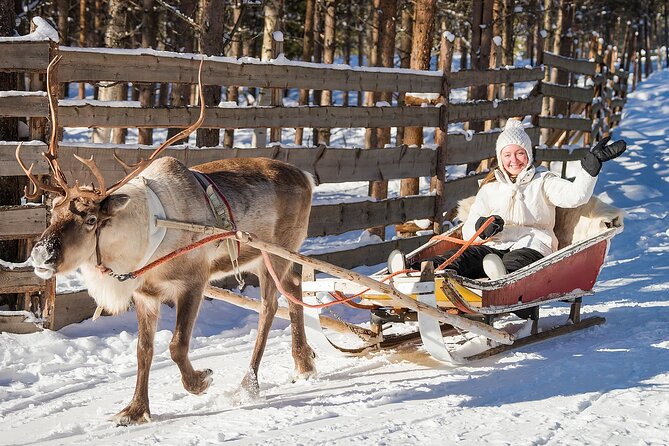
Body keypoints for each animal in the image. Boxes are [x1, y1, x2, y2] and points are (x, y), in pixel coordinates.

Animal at [18, 56, 316, 425]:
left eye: (90, 220)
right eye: (53, 212)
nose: (41, 255)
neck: (143, 239)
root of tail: (306, 178)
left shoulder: (193, 282)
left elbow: (176, 345)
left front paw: (200, 381)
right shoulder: (146, 295)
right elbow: (143, 350)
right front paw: (135, 409)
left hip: (274, 255)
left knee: (270, 307)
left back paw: (249, 384)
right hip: (277, 257)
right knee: (295, 290)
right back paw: (303, 362)